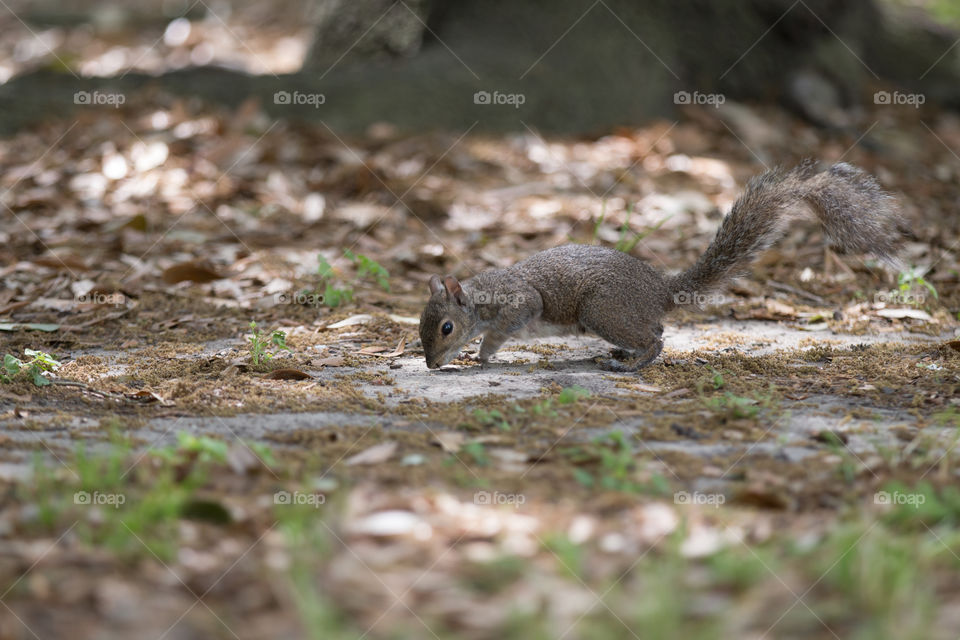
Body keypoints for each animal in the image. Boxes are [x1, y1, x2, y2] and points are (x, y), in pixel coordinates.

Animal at [416, 160, 904, 370]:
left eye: (446, 328)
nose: (432, 366)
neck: (481, 294)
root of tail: (661, 291)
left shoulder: (520, 303)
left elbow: (505, 327)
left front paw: (481, 354)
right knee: (657, 329)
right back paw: (623, 353)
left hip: (602, 309)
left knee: (657, 338)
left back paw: (631, 363)